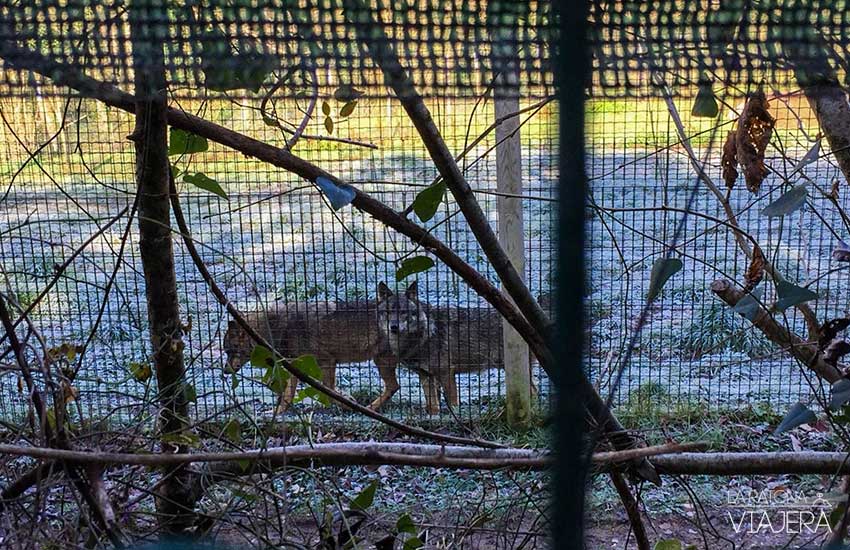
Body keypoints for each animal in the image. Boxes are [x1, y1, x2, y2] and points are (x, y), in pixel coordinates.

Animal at [224, 302, 400, 414]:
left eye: (229, 351)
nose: (225, 371)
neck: (274, 331)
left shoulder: (327, 362)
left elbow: (329, 390)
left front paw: (350, 405)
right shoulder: (295, 367)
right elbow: (288, 396)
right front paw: (277, 412)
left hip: (381, 361)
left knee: (394, 387)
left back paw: (371, 408)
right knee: (394, 387)